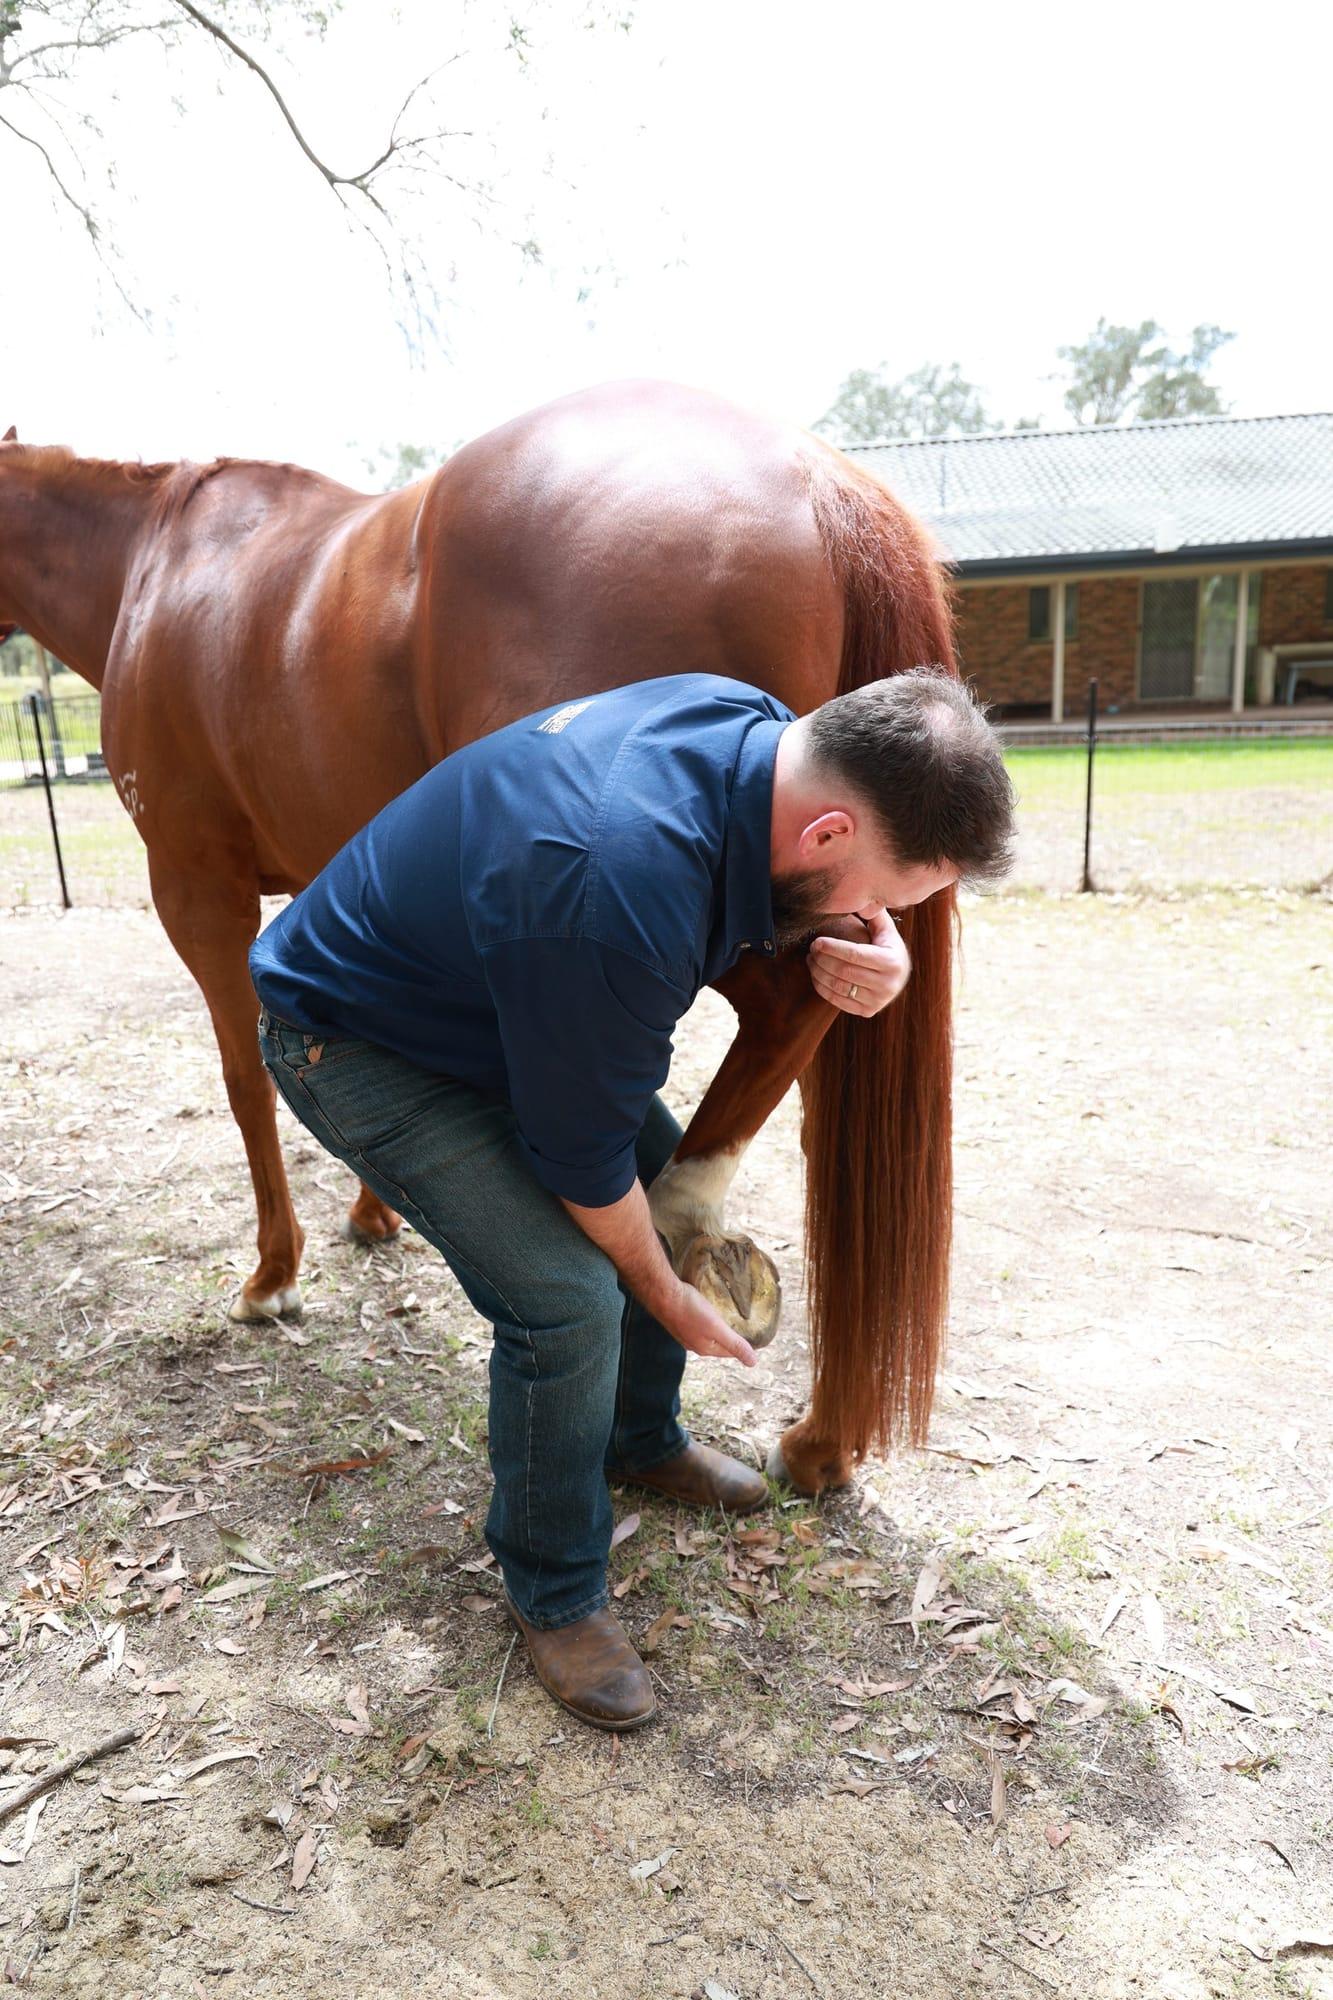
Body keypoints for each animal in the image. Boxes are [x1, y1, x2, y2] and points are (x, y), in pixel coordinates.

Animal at [0, 380, 957, 1495]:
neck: (155, 563)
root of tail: (823, 479)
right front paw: (374, 1215)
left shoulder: (196, 887)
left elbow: (244, 1081)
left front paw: (272, 1276)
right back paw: (819, 1439)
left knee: (801, 1003)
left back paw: (684, 1219)